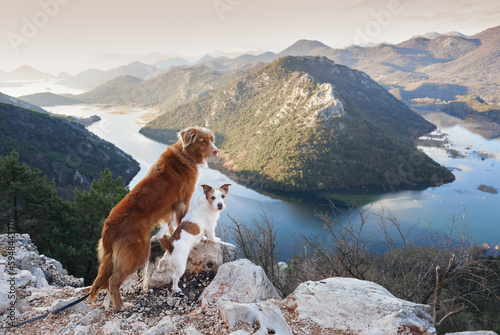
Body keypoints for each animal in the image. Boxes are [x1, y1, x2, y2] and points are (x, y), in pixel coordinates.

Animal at [89, 126, 217, 312]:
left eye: (212, 139)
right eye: (203, 141)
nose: (216, 150)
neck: (184, 155)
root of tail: (108, 226)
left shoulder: (171, 208)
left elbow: (171, 226)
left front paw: (172, 235)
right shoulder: (183, 201)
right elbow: (183, 222)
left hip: (114, 258)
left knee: (108, 280)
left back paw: (108, 304)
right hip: (137, 254)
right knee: (113, 281)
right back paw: (121, 306)